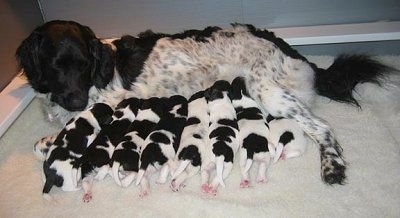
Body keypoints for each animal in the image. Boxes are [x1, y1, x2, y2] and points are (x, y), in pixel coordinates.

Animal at [15, 19, 390, 185]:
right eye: (55, 65)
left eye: (83, 66)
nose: (76, 100)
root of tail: (287, 46)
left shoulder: (105, 107)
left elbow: (49, 140)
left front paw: (50, 142)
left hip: (266, 91)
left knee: (322, 127)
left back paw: (333, 167)